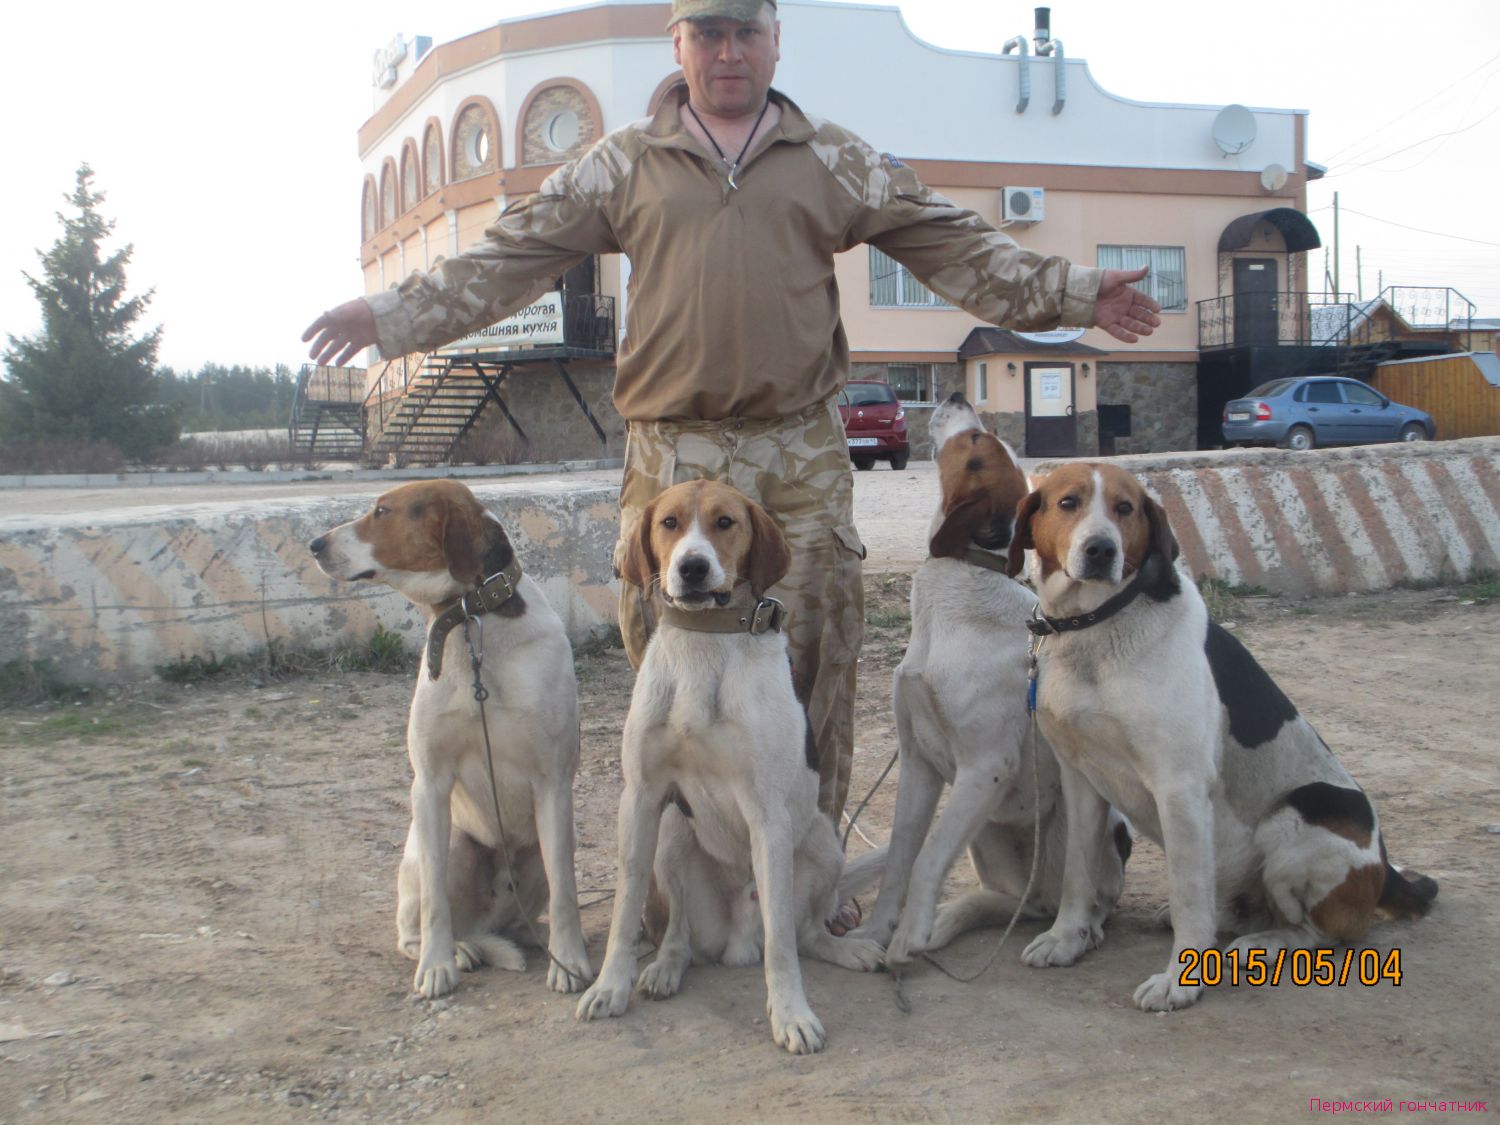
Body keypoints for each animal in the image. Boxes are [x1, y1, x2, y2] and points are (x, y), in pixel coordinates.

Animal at [309, 480, 591, 1002]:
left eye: (382, 511)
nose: (314, 545)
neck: (470, 624)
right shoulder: (431, 783)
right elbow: (434, 902)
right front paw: (437, 965)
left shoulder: (553, 783)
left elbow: (566, 891)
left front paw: (570, 962)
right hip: (452, 841)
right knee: (418, 927)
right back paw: (456, 950)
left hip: (540, 847)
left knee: (522, 919)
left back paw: (535, 938)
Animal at [570, 483, 876, 1056]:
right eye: (668, 523)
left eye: (726, 522)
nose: (692, 568)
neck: (703, 642)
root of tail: (737, 936)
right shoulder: (641, 797)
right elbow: (625, 909)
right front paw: (609, 986)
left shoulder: (768, 815)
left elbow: (782, 945)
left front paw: (792, 1015)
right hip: (672, 831)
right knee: (679, 935)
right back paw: (664, 969)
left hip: (824, 842)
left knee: (803, 933)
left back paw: (850, 949)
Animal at [858, 396, 1128, 972]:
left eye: (977, 444)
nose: (960, 397)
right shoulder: (918, 763)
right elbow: (899, 860)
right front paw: (874, 933)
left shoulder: (985, 768)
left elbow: (926, 860)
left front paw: (907, 934)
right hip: (986, 834)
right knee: (1020, 903)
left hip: (1076, 823)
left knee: (1088, 900)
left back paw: (1077, 933)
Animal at [1002, 468, 1434, 1014]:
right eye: (1067, 502)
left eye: (1125, 509)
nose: (1101, 550)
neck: (1098, 625)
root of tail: (1382, 865)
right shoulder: (1080, 779)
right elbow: (1078, 875)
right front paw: (1067, 939)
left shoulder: (1180, 788)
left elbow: (1189, 894)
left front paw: (1179, 980)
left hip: (1296, 820)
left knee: (1329, 931)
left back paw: (1265, 944)